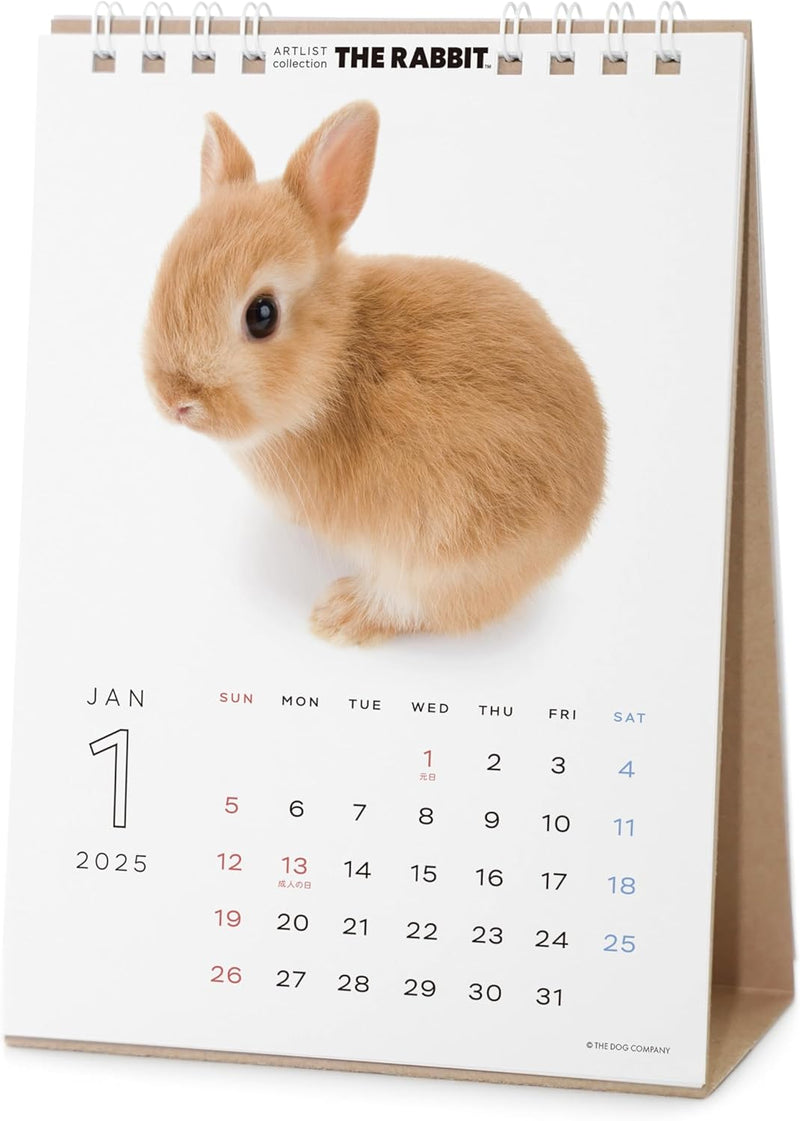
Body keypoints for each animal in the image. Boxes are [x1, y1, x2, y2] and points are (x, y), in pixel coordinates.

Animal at [143, 101, 607, 645]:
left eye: (262, 315)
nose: (175, 399)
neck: (337, 363)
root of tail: (582, 514)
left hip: (445, 552)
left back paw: (340, 615)